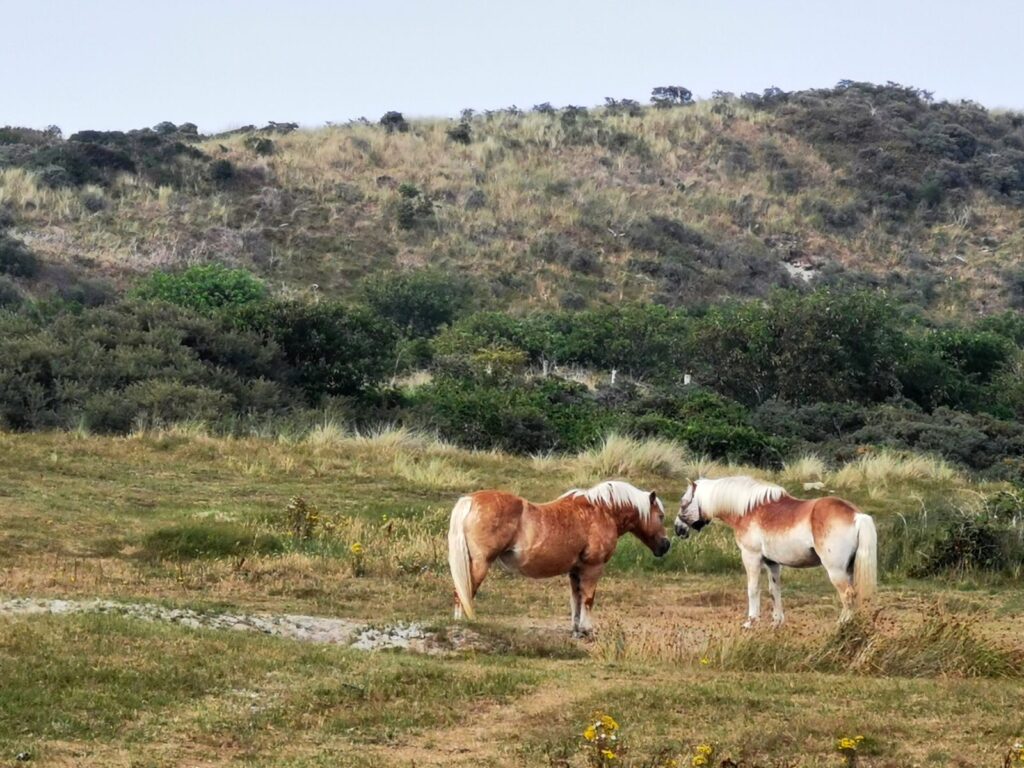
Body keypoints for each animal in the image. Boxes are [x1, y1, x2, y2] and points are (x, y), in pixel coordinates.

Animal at [448, 480, 671, 636]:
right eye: (660, 516)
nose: (666, 545)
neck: (601, 511)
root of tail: (470, 500)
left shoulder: (575, 571)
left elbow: (576, 600)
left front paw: (576, 629)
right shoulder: (593, 568)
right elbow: (588, 599)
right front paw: (587, 630)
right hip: (479, 564)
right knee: (465, 593)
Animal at [674, 476, 877, 626]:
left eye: (683, 502)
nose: (678, 529)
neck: (749, 510)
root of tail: (857, 515)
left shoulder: (751, 557)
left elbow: (753, 589)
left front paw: (750, 622)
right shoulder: (772, 563)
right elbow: (774, 590)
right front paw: (777, 622)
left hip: (836, 571)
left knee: (848, 595)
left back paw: (841, 625)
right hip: (849, 569)